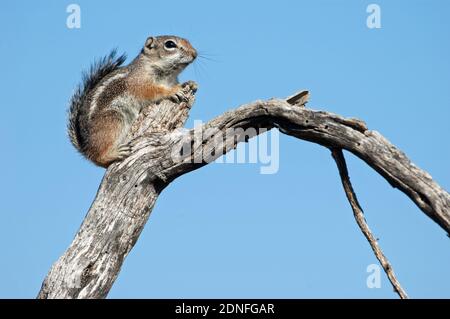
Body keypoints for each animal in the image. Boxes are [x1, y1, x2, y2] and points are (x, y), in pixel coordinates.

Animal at [68, 35, 197, 168]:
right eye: (170, 44)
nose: (195, 54)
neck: (168, 75)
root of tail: (85, 147)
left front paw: (191, 84)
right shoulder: (139, 83)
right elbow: (153, 91)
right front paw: (172, 91)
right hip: (113, 119)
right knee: (98, 157)